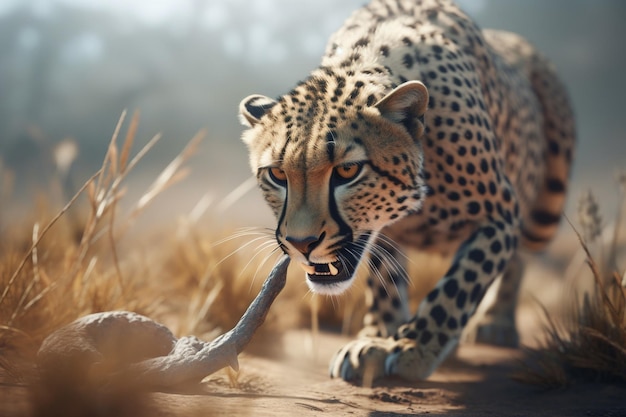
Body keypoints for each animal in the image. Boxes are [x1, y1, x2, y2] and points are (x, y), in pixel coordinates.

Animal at [236, 0, 572, 380]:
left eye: (347, 170)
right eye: (278, 174)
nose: (301, 243)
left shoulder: (500, 213)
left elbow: (459, 285)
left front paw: (414, 347)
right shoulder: (385, 232)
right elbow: (385, 280)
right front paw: (377, 340)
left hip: (545, 211)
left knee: (521, 253)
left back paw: (495, 322)